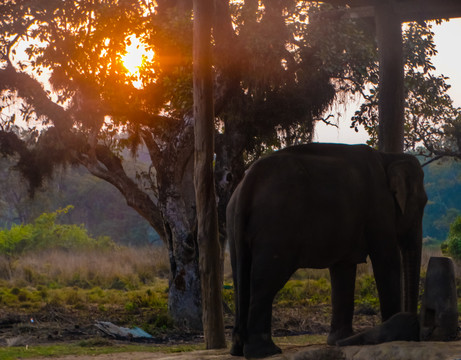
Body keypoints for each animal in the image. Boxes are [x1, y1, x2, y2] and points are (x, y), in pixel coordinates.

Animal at [226, 142, 428, 358]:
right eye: (422, 203)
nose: (414, 324)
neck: (388, 157)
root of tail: (247, 183)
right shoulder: (379, 208)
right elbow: (386, 261)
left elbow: (343, 269)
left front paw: (339, 340)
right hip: (275, 226)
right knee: (266, 281)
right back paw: (265, 351)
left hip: (236, 225)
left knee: (242, 276)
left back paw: (239, 350)